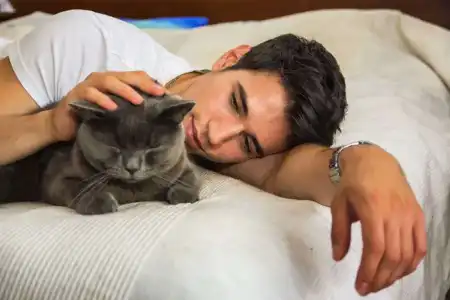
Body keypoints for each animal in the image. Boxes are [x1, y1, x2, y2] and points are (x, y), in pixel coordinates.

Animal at [0, 93, 202, 213]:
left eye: (152, 146)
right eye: (114, 145)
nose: (132, 167)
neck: (133, 193)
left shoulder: (182, 163)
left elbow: (191, 178)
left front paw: (182, 194)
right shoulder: (55, 177)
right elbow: (77, 187)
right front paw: (100, 201)